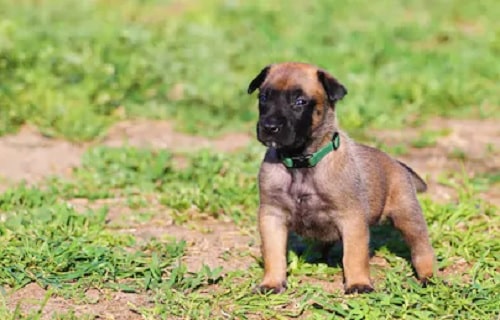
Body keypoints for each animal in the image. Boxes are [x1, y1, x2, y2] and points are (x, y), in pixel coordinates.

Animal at [248, 61, 436, 294]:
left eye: (300, 102)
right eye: (264, 97)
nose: (269, 127)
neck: (301, 162)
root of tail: (396, 163)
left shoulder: (351, 219)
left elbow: (354, 255)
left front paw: (358, 283)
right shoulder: (272, 216)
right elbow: (273, 254)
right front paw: (272, 282)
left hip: (408, 217)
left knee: (421, 249)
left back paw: (428, 276)